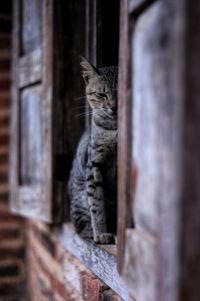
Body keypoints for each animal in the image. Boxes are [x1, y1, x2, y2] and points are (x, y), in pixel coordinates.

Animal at [68, 56, 118, 244]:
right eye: (101, 94)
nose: (113, 107)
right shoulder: (95, 163)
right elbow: (96, 203)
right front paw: (101, 232)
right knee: (80, 224)